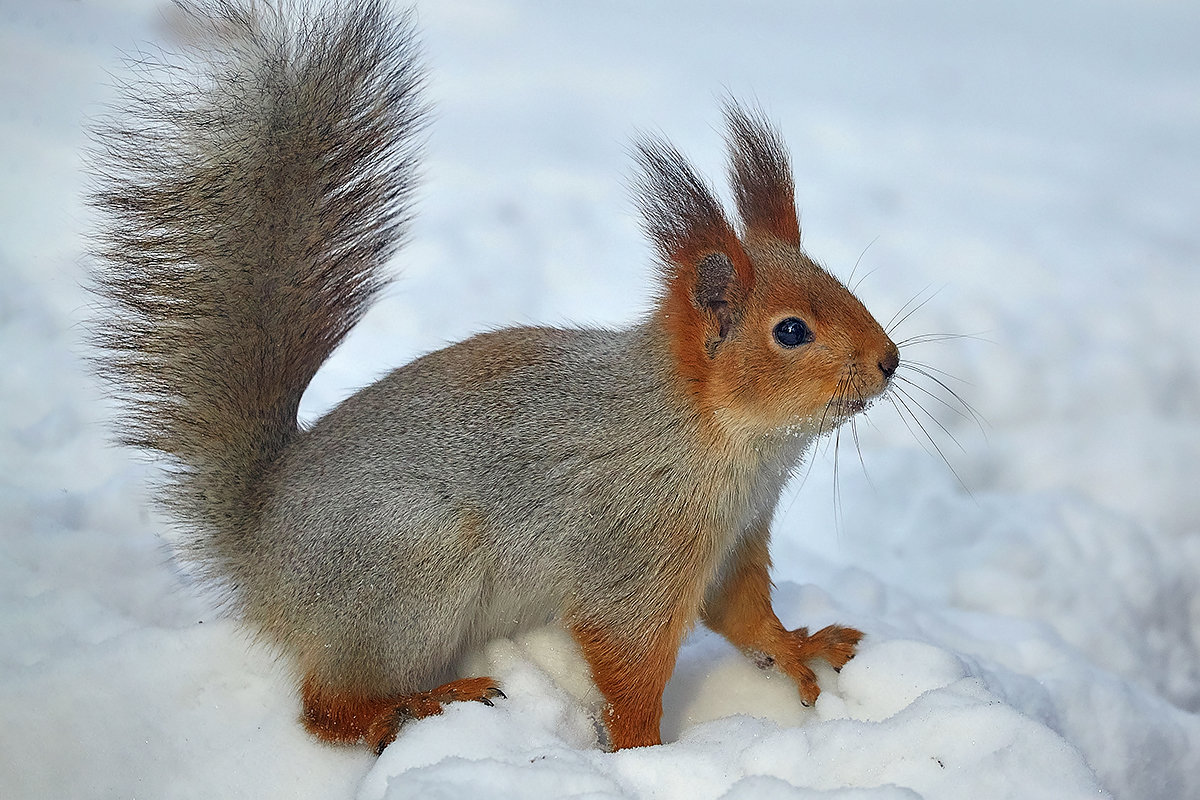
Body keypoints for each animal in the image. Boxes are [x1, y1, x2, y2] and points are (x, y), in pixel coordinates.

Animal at [88, 0, 897, 758]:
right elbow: (629, 657)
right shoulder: (633, 542)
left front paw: (798, 647)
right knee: (328, 708)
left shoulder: (736, 540)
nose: (890, 361)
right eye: (791, 332)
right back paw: (418, 705)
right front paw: (640, 753)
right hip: (410, 570)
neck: (733, 441)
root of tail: (261, 548)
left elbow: (743, 614)